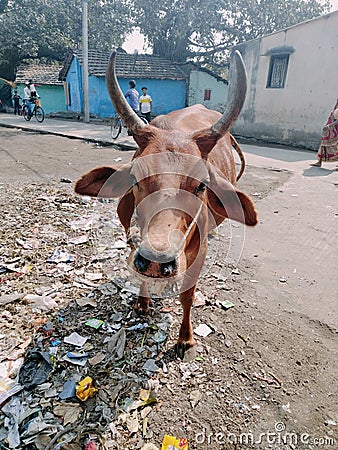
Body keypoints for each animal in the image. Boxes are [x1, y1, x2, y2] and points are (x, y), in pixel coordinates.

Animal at [75, 50, 258, 358]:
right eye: (135, 178)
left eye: (201, 185)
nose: (157, 258)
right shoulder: (134, 238)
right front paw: (142, 302)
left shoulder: (198, 253)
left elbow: (188, 295)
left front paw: (185, 338)